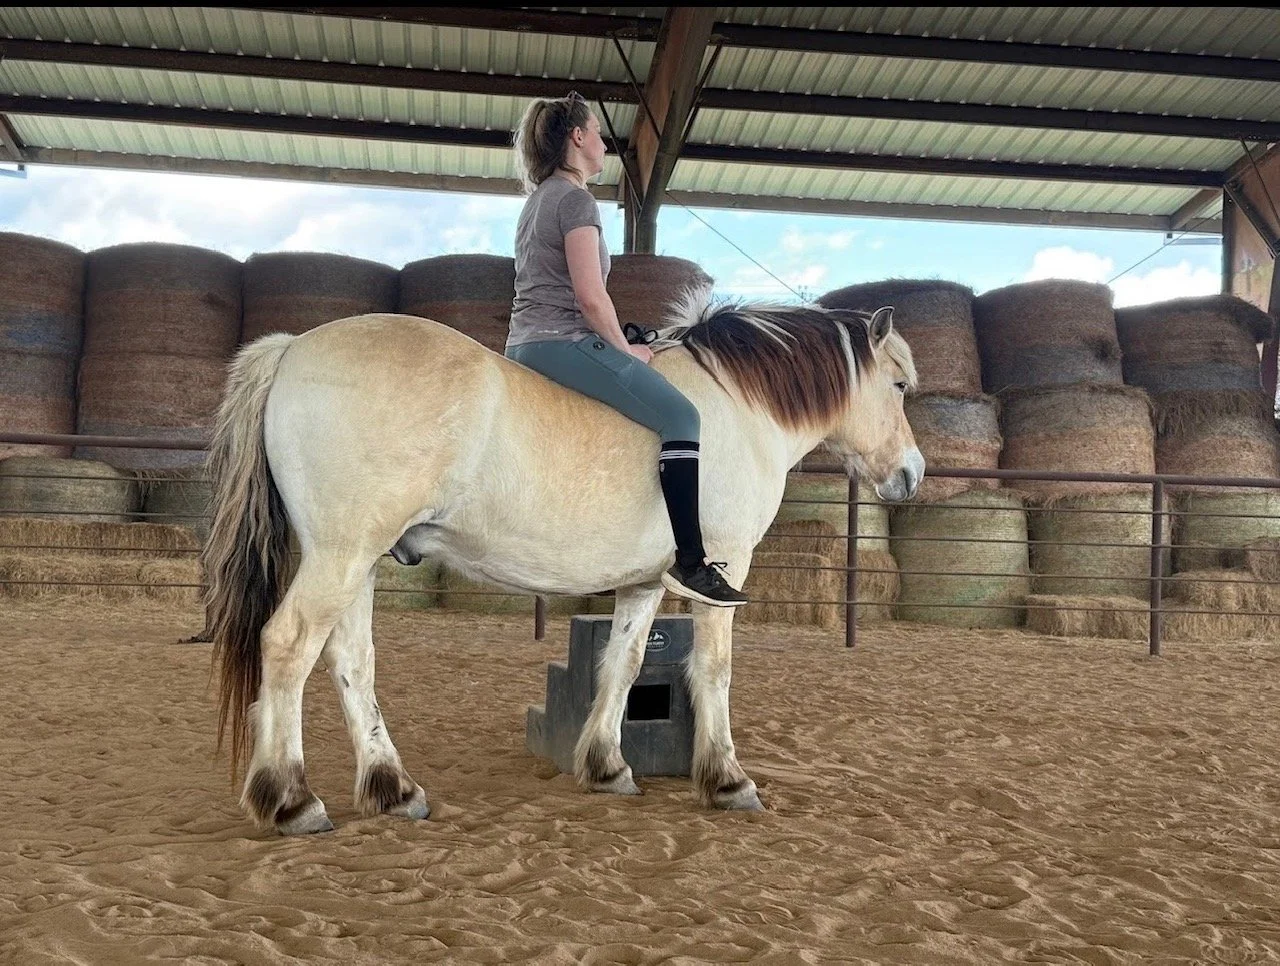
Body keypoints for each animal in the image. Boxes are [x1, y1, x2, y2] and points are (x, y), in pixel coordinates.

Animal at [203, 291, 922, 835]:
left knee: (350, 660)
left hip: (357, 560)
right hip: (342, 555)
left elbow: (623, 665)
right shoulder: (725, 566)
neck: (736, 407)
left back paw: (392, 788)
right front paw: (727, 780)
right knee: (290, 646)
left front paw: (607, 767)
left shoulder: (643, 582)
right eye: (897, 385)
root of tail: (293, 348)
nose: (911, 474)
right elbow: (714, 669)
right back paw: (290, 799)